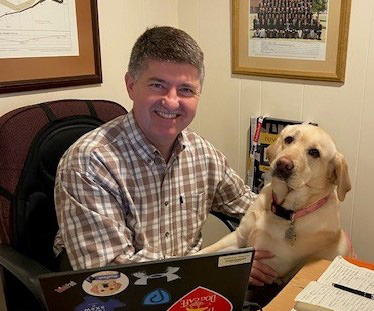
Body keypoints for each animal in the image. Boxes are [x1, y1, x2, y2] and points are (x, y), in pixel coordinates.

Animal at [200, 124, 352, 286]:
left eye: (314, 152)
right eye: (289, 139)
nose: (283, 164)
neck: (282, 210)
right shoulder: (238, 238)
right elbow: (206, 251)